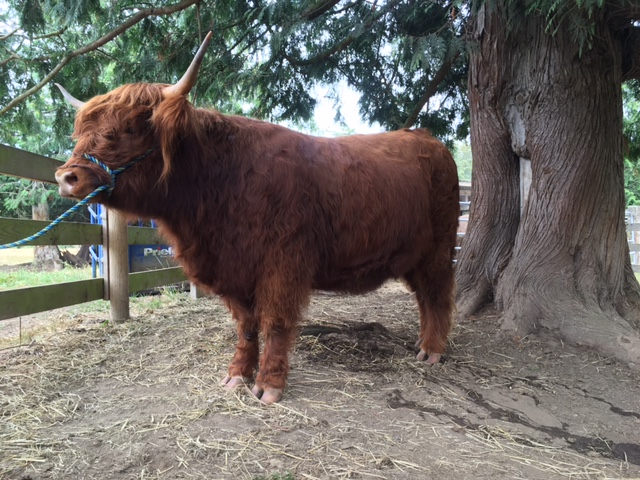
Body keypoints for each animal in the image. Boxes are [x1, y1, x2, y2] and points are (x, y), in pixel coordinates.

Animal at [55, 33, 460, 404]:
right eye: (82, 130)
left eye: (131, 128)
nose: (66, 177)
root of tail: (429, 140)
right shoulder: (235, 270)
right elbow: (247, 326)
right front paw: (237, 373)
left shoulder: (284, 265)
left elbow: (276, 323)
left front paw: (269, 384)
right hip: (413, 255)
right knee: (424, 296)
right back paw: (423, 343)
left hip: (439, 247)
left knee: (437, 294)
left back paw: (433, 350)